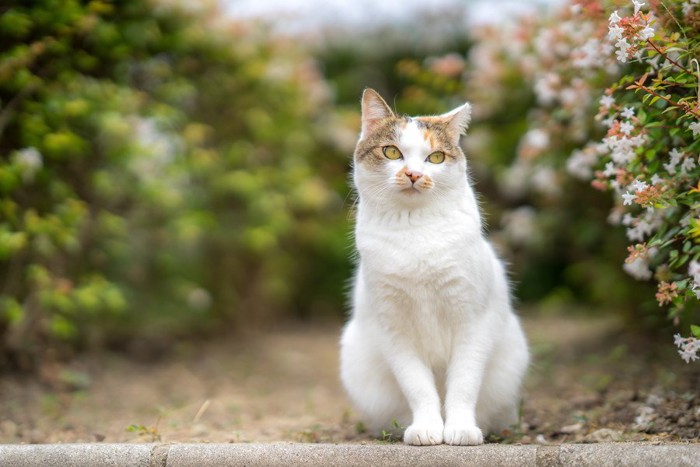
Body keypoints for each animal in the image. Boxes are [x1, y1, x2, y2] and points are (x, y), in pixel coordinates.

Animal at [340, 88, 532, 446]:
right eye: (392, 152)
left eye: (436, 158)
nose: (414, 174)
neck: (416, 230)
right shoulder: (394, 327)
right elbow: (418, 386)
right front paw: (427, 428)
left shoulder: (472, 320)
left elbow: (464, 383)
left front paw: (460, 429)